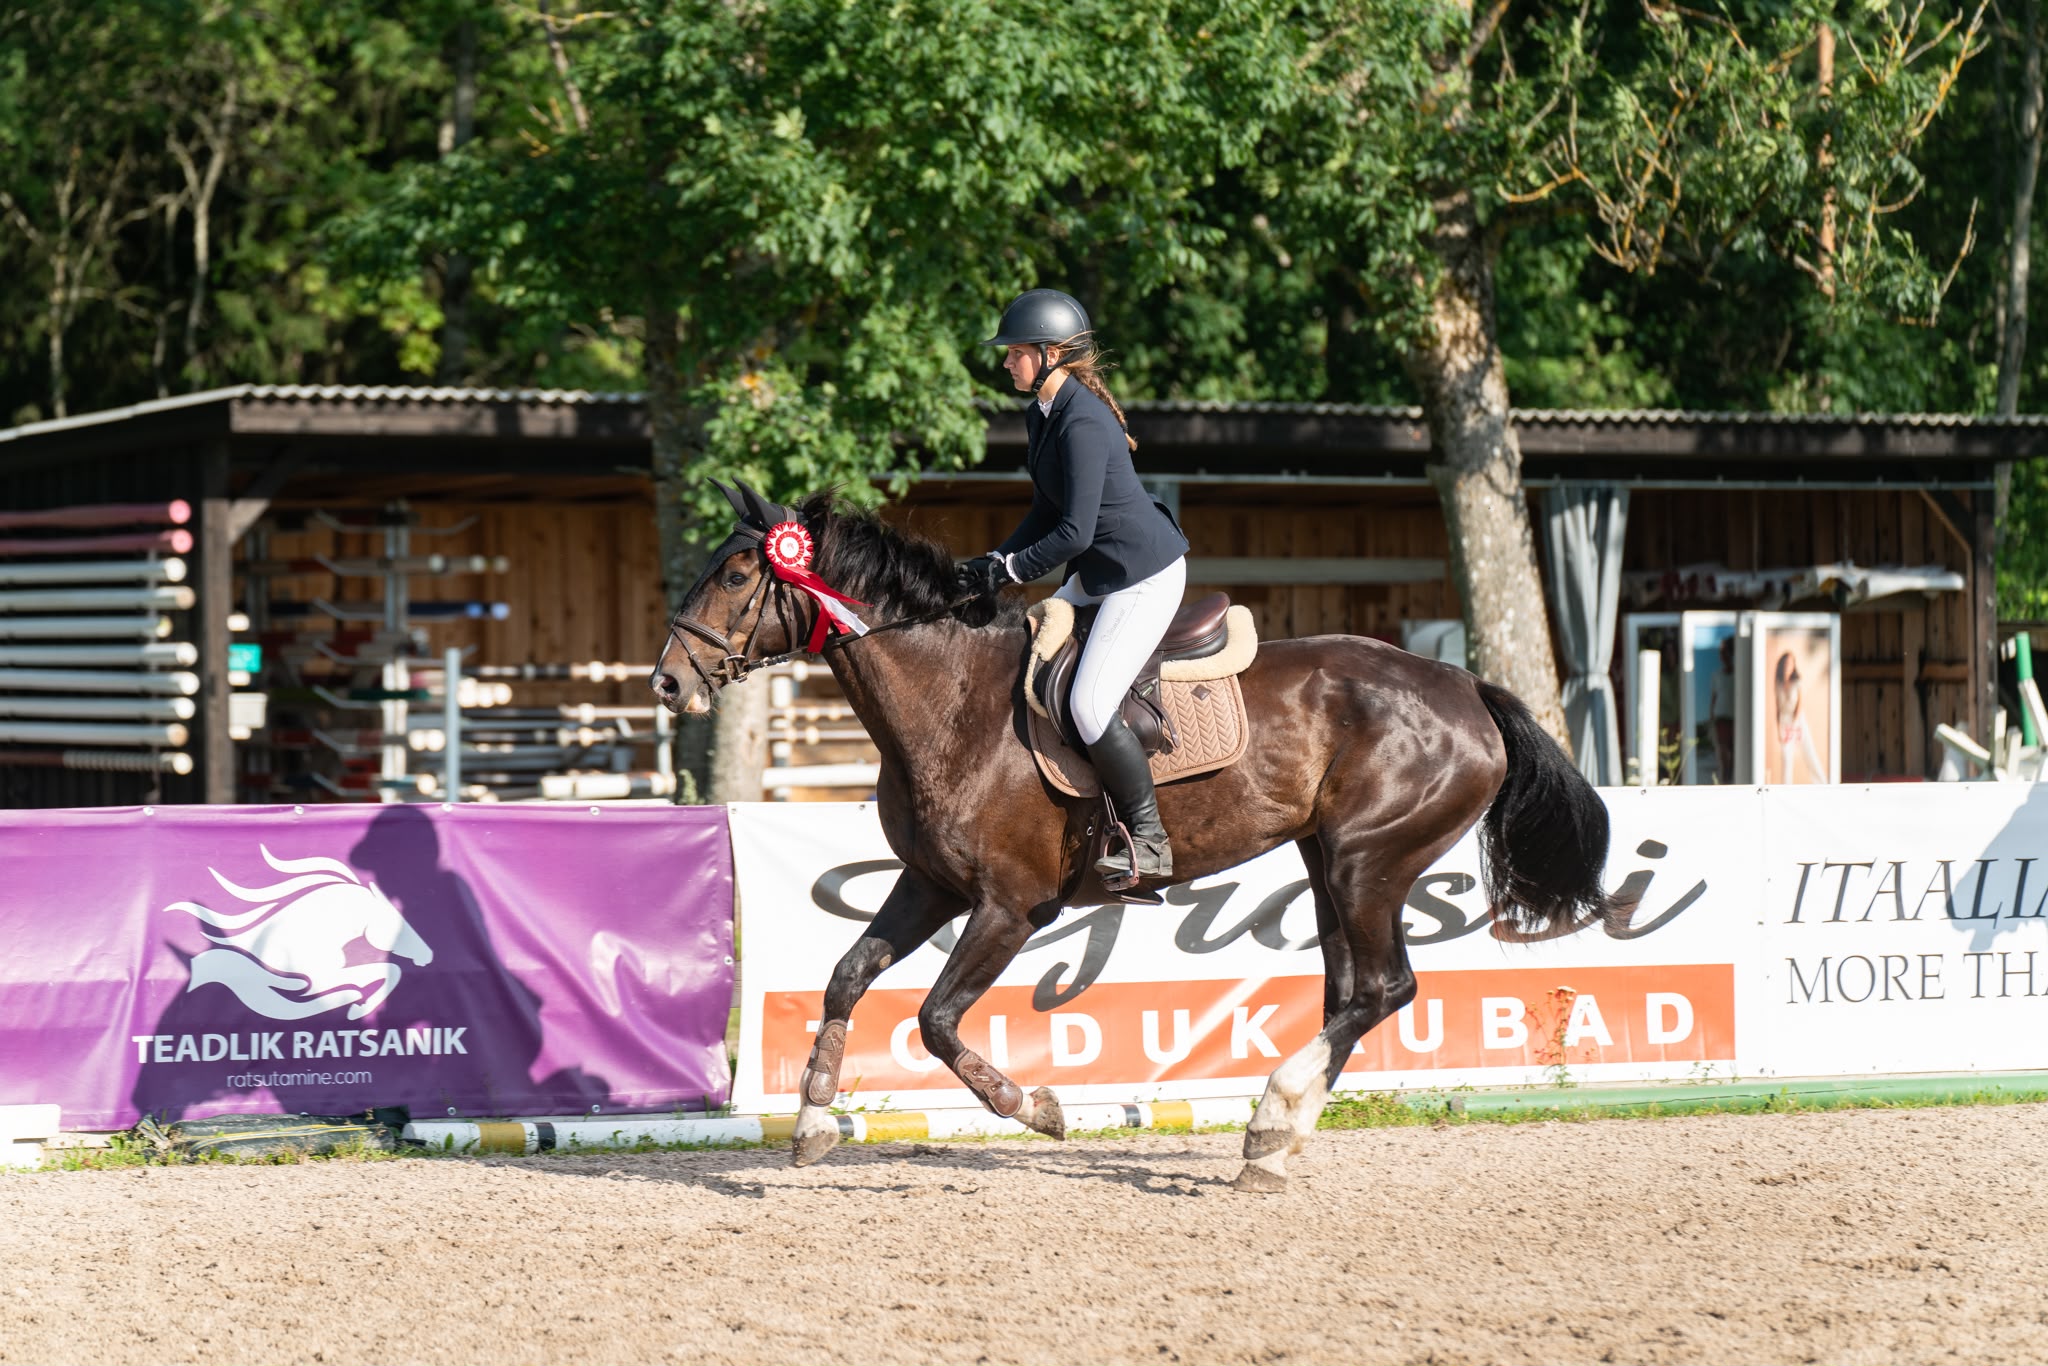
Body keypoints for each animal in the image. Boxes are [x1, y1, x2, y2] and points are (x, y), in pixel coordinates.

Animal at [653, 483, 1622, 1193]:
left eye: (736, 579)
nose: (667, 683)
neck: (951, 700)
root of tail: (1465, 687)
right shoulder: (930, 884)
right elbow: (847, 976)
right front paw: (815, 1119)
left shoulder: (1011, 907)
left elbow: (933, 1020)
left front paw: (1037, 1109)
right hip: (1327, 861)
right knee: (1350, 990)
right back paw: (1275, 1142)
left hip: (1369, 860)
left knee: (1386, 987)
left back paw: (1271, 1116)